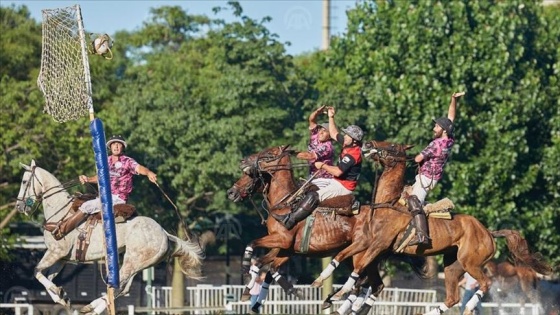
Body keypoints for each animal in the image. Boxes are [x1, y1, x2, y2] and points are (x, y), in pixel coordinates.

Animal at [15, 162, 206, 314]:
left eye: (24, 181)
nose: (19, 206)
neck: (59, 210)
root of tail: (164, 233)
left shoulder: (55, 252)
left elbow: (37, 272)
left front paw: (60, 294)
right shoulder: (62, 258)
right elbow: (47, 276)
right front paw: (62, 297)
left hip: (131, 260)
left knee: (118, 286)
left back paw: (91, 308)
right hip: (139, 264)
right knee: (123, 288)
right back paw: (92, 307)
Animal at [225, 145, 426, 314]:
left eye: (268, 155)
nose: (231, 193)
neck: (286, 202)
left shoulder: (283, 240)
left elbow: (255, 250)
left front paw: (247, 271)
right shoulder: (286, 249)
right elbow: (267, 265)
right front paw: (254, 297)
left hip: (361, 254)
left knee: (365, 281)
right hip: (362, 258)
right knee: (371, 283)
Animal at [312, 140, 552, 315]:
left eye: (392, 146)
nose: (368, 143)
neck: (388, 204)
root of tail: (488, 232)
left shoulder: (378, 245)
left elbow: (358, 267)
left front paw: (339, 292)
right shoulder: (367, 243)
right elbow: (343, 257)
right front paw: (322, 281)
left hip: (471, 262)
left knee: (485, 284)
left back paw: (470, 307)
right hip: (453, 265)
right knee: (453, 297)